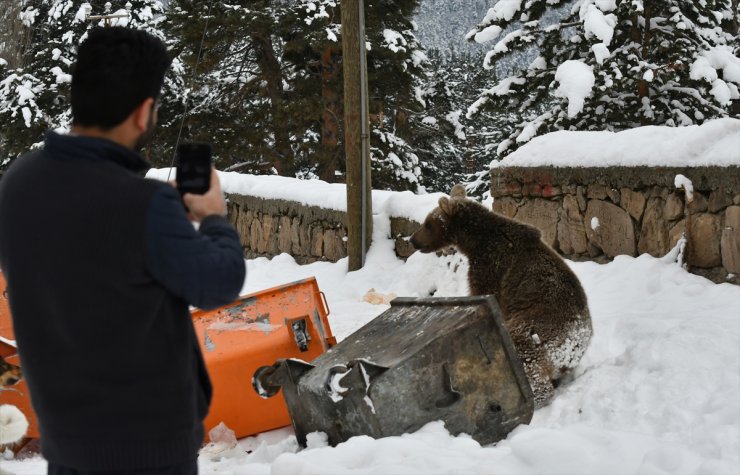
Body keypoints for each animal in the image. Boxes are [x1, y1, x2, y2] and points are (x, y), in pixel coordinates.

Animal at [408, 185, 592, 410]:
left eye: (428, 224)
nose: (413, 240)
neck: (475, 242)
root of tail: (575, 349)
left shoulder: (491, 267)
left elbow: (483, 295)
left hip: (539, 331)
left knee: (526, 358)